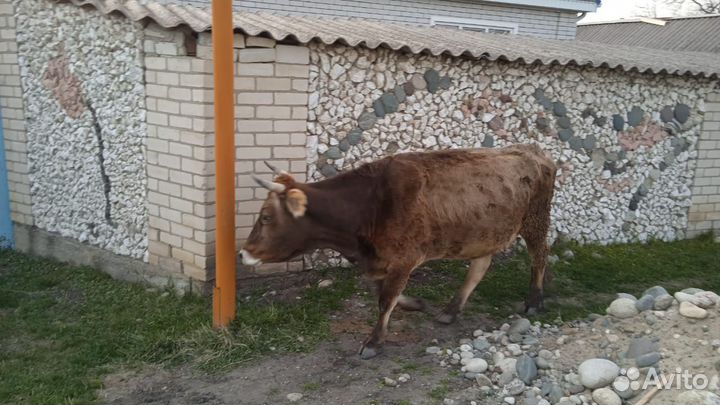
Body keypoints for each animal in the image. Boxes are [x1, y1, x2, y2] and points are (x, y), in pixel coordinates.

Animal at [241, 144, 557, 359]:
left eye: (266, 217)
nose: (243, 254)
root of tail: (531, 148)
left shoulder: (405, 257)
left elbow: (385, 299)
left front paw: (374, 341)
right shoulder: (380, 259)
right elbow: (382, 291)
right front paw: (414, 303)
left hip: (536, 220)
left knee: (539, 257)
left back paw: (534, 300)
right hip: (485, 231)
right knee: (480, 266)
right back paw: (451, 310)